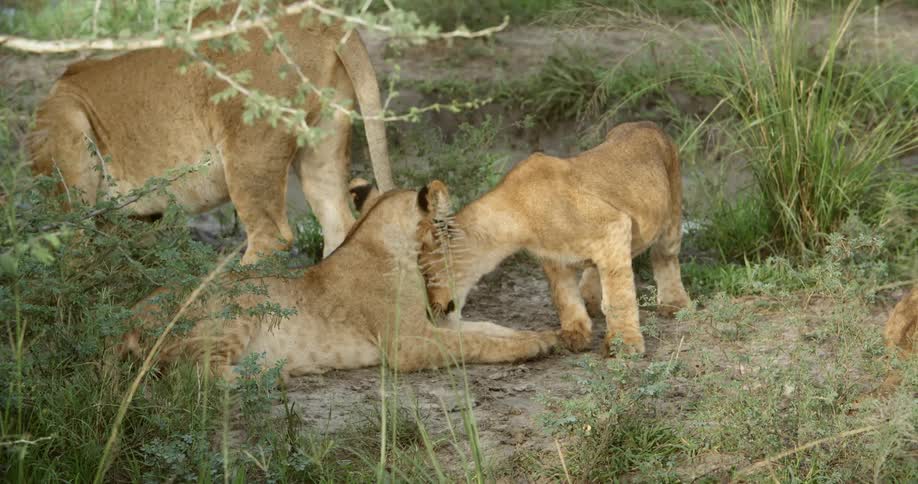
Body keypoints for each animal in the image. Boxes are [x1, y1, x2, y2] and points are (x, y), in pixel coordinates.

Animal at [28, 2, 393, 264]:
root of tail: (318, 16)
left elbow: (74, 263)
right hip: (322, 144)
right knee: (338, 223)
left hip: (249, 152)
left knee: (270, 236)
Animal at [120, 180, 559, 380]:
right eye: (447, 225)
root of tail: (130, 317)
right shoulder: (407, 344)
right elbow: (476, 342)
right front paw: (533, 346)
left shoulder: (430, 324)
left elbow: (488, 327)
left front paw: (544, 335)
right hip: (238, 308)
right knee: (201, 375)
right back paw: (277, 372)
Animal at [418, 121, 691, 356]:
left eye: (427, 274)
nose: (429, 311)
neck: (518, 214)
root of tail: (647, 123)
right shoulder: (555, 258)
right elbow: (565, 297)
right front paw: (574, 335)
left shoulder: (614, 225)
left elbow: (618, 297)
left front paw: (623, 344)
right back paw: (590, 297)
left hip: (670, 217)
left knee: (664, 256)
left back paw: (674, 303)